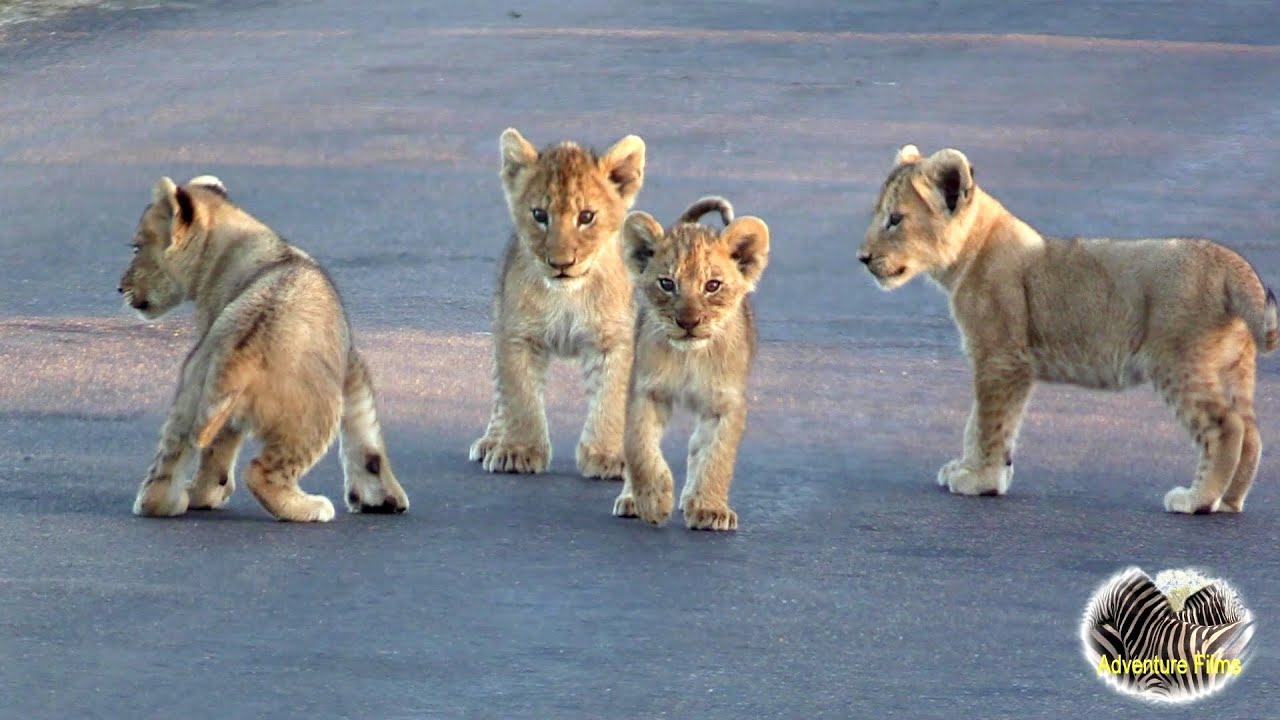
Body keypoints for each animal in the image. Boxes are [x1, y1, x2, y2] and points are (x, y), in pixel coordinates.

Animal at [117, 175, 409, 521]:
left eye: (137, 247)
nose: (120, 287)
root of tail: (241, 352)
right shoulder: (351, 364)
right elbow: (366, 430)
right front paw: (383, 497)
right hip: (316, 411)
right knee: (260, 473)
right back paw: (310, 507)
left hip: (191, 393)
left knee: (164, 478)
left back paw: (181, 499)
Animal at [469, 128, 645, 480]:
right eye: (540, 215)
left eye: (586, 217)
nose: (561, 263)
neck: (568, 296)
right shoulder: (517, 335)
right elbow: (520, 396)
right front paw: (518, 451)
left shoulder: (613, 339)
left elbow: (610, 397)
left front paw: (607, 455)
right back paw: (492, 441)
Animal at [611, 196, 770, 530]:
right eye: (667, 283)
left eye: (712, 285)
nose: (688, 322)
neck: (690, 356)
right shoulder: (646, 391)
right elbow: (640, 447)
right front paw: (652, 500)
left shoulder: (725, 403)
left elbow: (716, 456)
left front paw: (710, 509)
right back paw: (631, 500)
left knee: (697, 446)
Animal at [858, 144, 1278, 513]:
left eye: (895, 219)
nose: (862, 258)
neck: (966, 256)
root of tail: (1229, 261)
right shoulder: (996, 360)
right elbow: (978, 421)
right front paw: (974, 470)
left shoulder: (1001, 358)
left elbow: (989, 422)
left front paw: (980, 479)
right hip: (1234, 368)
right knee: (1252, 432)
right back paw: (1229, 502)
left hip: (1178, 364)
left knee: (1227, 427)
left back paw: (1197, 500)